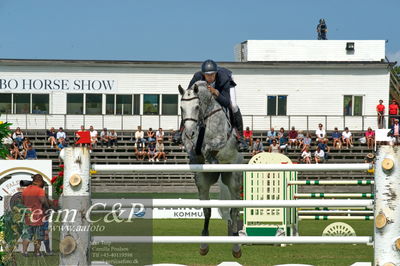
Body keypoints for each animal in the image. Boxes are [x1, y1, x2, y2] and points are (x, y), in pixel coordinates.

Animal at [179, 80, 244, 258]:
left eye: (196, 106)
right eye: (181, 108)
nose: (189, 131)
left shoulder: (220, 139)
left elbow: (209, 146)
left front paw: (211, 156)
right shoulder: (190, 144)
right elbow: (193, 148)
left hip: (233, 179)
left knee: (234, 211)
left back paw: (236, 246)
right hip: (203, 182)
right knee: (207, 210)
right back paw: (204, 244)